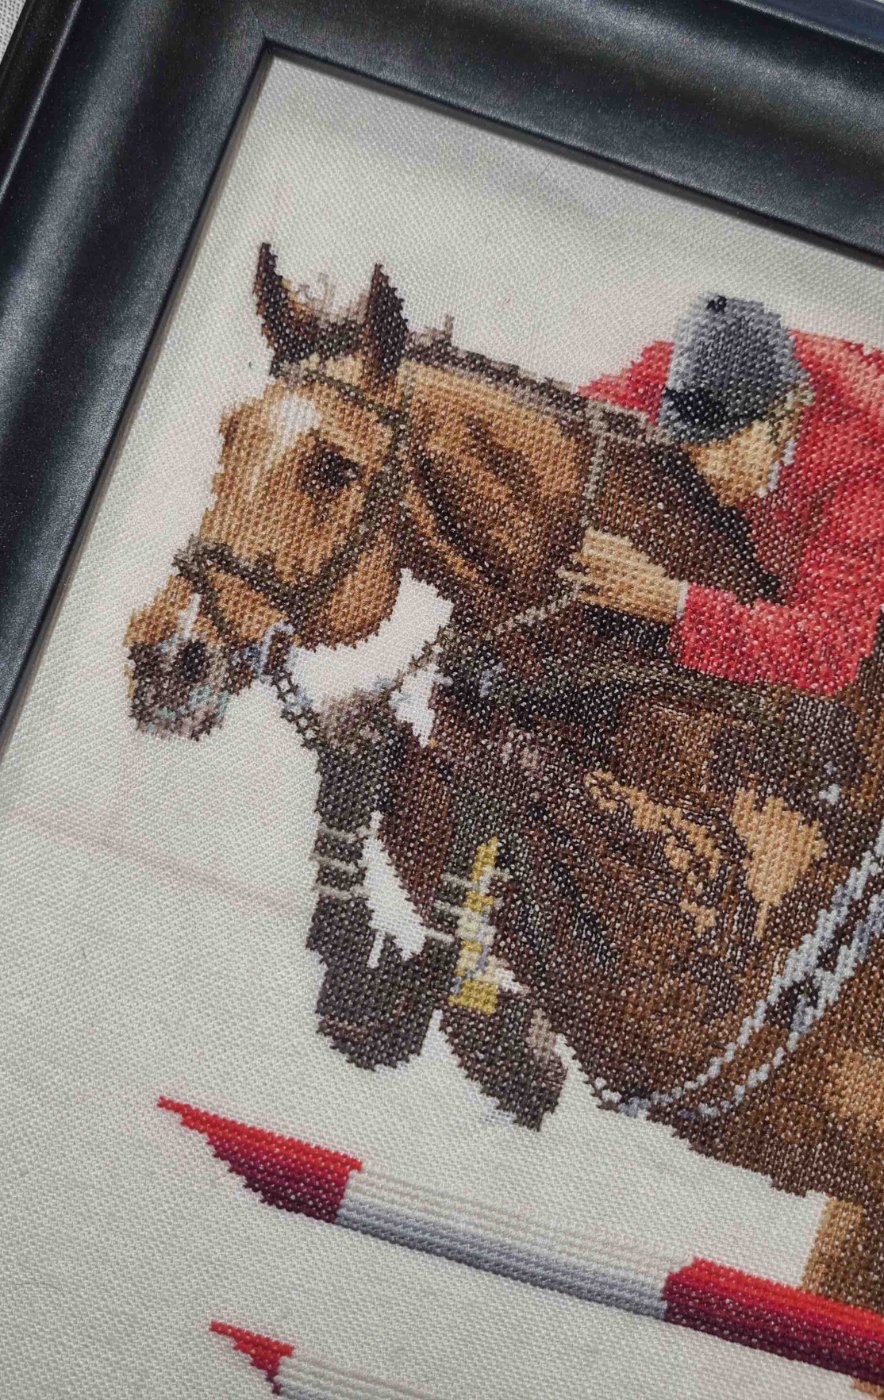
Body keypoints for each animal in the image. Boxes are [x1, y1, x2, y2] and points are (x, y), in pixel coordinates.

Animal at [126, 245, 884, 1368]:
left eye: (333, 467)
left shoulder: (699, 970)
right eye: (228, 432)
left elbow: (511, 781)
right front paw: (423, 1001)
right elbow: (411, 763)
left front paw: (472, 1016)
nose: (165, 659)